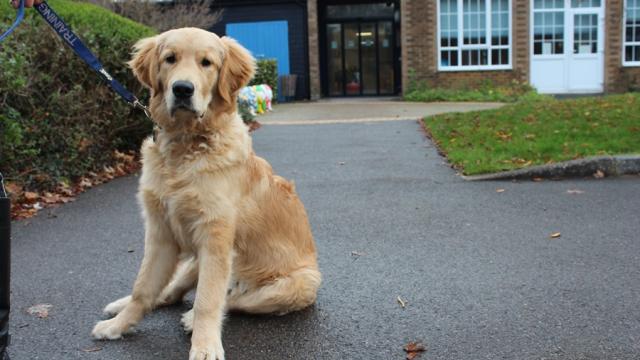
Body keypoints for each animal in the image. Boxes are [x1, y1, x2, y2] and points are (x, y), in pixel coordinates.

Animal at [91, 28, 320, 360]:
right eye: (170, 58)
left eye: (207, 63)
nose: (182, 89)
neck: (187, 144)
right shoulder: (161, 234)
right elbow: (143, 288)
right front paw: (118, 325)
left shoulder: (216, 240)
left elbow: (208, 301)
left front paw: (205, 346)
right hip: (197, 260)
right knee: (170, 292)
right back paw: (119, 307)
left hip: (295, 284)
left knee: (233, 300)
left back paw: (191, 319)